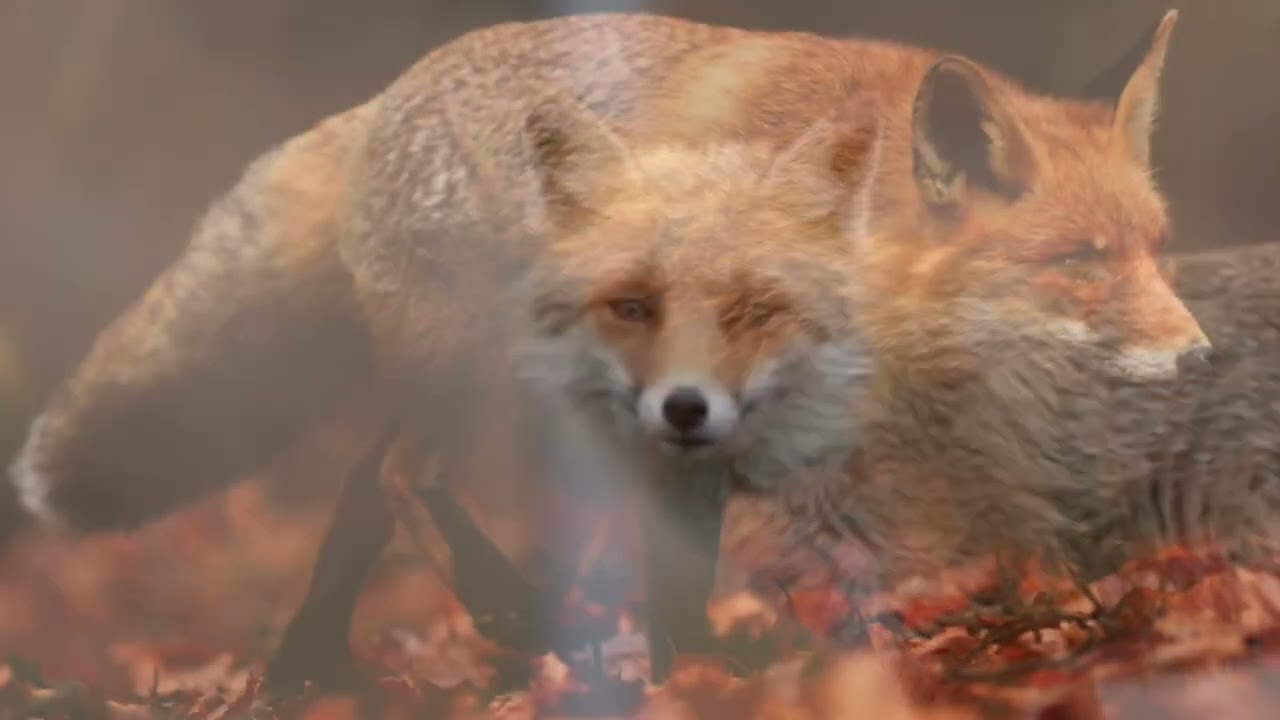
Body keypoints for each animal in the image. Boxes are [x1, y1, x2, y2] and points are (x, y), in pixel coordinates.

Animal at [1, 9, 1207, 685]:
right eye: (1080, 259)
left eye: (1154, 249)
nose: (1199, 358)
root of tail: (386, 96)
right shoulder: (689, 407)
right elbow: (680, 576)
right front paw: (702, 677)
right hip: (480, 373)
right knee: (400, 476)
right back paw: (504, 613)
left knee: (355, 496)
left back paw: (306, 675)